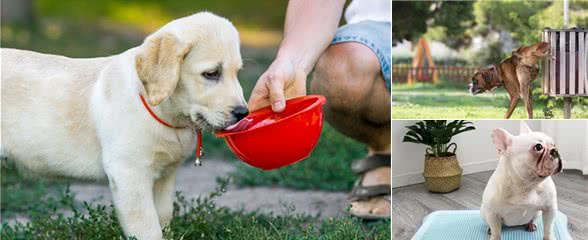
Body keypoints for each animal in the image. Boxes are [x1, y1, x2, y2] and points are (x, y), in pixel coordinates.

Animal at [0, 12, 248, 239]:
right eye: (212, 74)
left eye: (237, 73)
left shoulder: (165, 176)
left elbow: (163, 217)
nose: (243, 113)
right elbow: (148, 229)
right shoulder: (129, 173)